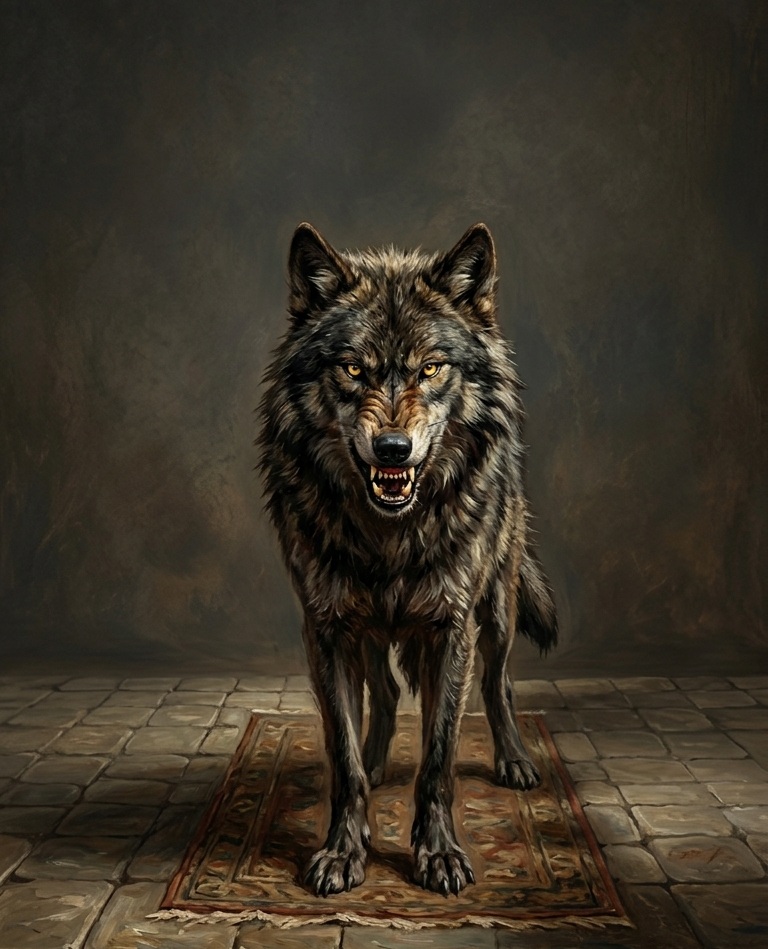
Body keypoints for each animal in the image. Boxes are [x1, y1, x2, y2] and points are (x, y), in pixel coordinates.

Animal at [258, 222, 557, 898]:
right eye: (352, 368)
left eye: (430, 368)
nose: (393, 447)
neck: (390, 534)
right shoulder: (326, 629)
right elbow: (342, 756)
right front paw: (343, 850)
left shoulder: (451, 627)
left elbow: (438, 757)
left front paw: (439, 853)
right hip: (367, 630)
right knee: (388, 691)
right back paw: (376, 760)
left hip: (496, 613)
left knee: (498, 684)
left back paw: (514, 761)